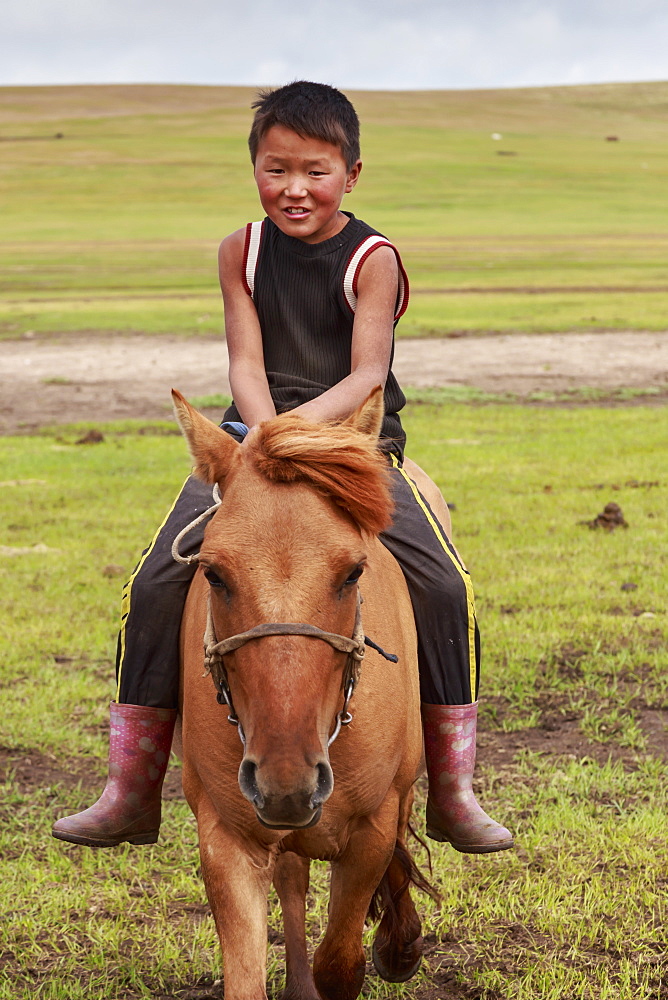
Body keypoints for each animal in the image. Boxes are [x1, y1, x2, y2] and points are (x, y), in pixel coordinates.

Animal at [174, 386, 434, 1000]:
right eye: (214, 574)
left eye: (353, 572)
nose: (287, 779)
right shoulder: (225, 835)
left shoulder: (370, 831)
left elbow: (340, 962)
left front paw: (392, 946)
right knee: (292, 874)